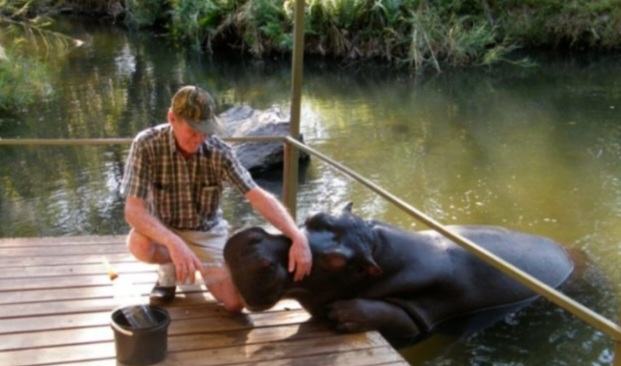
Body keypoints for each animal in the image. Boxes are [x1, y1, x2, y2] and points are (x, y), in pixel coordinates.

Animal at [222, 204, 572, 344]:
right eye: (314, 216)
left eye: (336, 261)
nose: (251, 248)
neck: (380, 252)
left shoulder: (428, 310)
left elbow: (403, 318)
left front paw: (343, 313)